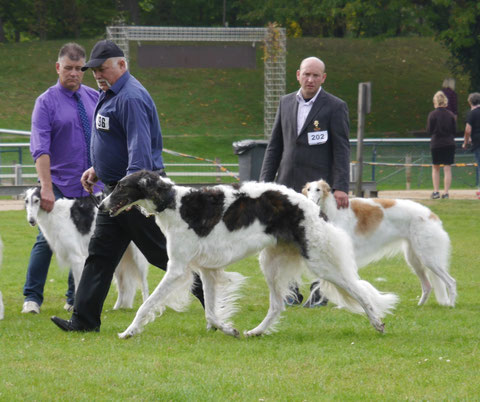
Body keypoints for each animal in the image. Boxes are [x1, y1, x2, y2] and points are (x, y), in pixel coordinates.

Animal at [100, 170, 398, 340]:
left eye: (121, 187)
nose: (101, 206)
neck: (175, 204)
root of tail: (312, 207)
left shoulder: (177, 269)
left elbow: (147, 304)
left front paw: (128, 331)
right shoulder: (207, 269)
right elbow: (211, 312)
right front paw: (228, 329)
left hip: (318, 261)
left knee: (357, 289)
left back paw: (378, 323)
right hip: (271, 263)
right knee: (277, 305)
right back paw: (257, 331)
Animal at [302, 177, 456, 306]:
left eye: (318, 189)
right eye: (308, 189)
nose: (310, 202)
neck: (333, 210)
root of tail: (432, 215)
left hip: (428, 257)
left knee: (451, 281)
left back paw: (451, 304)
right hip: (414, 259)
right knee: (427, 286)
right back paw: (420, 305)